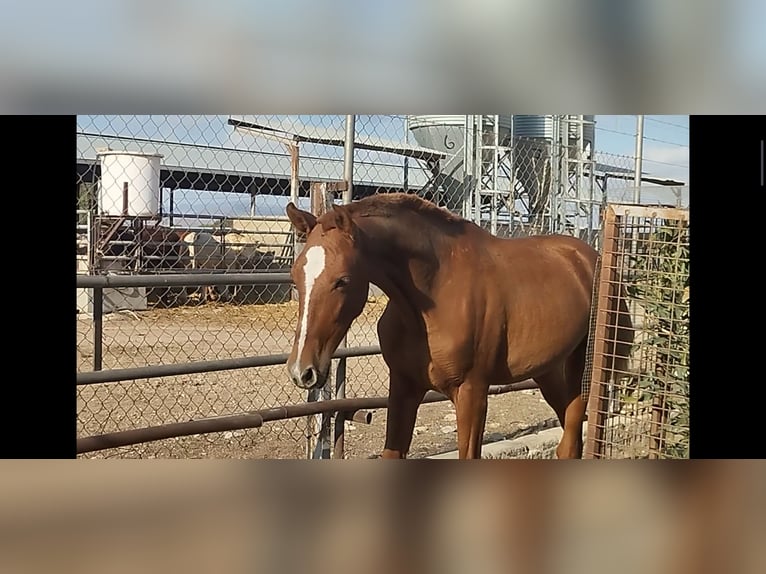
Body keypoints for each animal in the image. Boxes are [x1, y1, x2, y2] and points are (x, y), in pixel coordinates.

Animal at [284, 196, 632, 462]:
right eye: (295, 276)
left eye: (342, 280)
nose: (303, 371)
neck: (432, 299)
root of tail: (590, 257)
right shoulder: (404, 387)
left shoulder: (472, 393)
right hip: (547, 371)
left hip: (585, 368)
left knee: (572, 436)